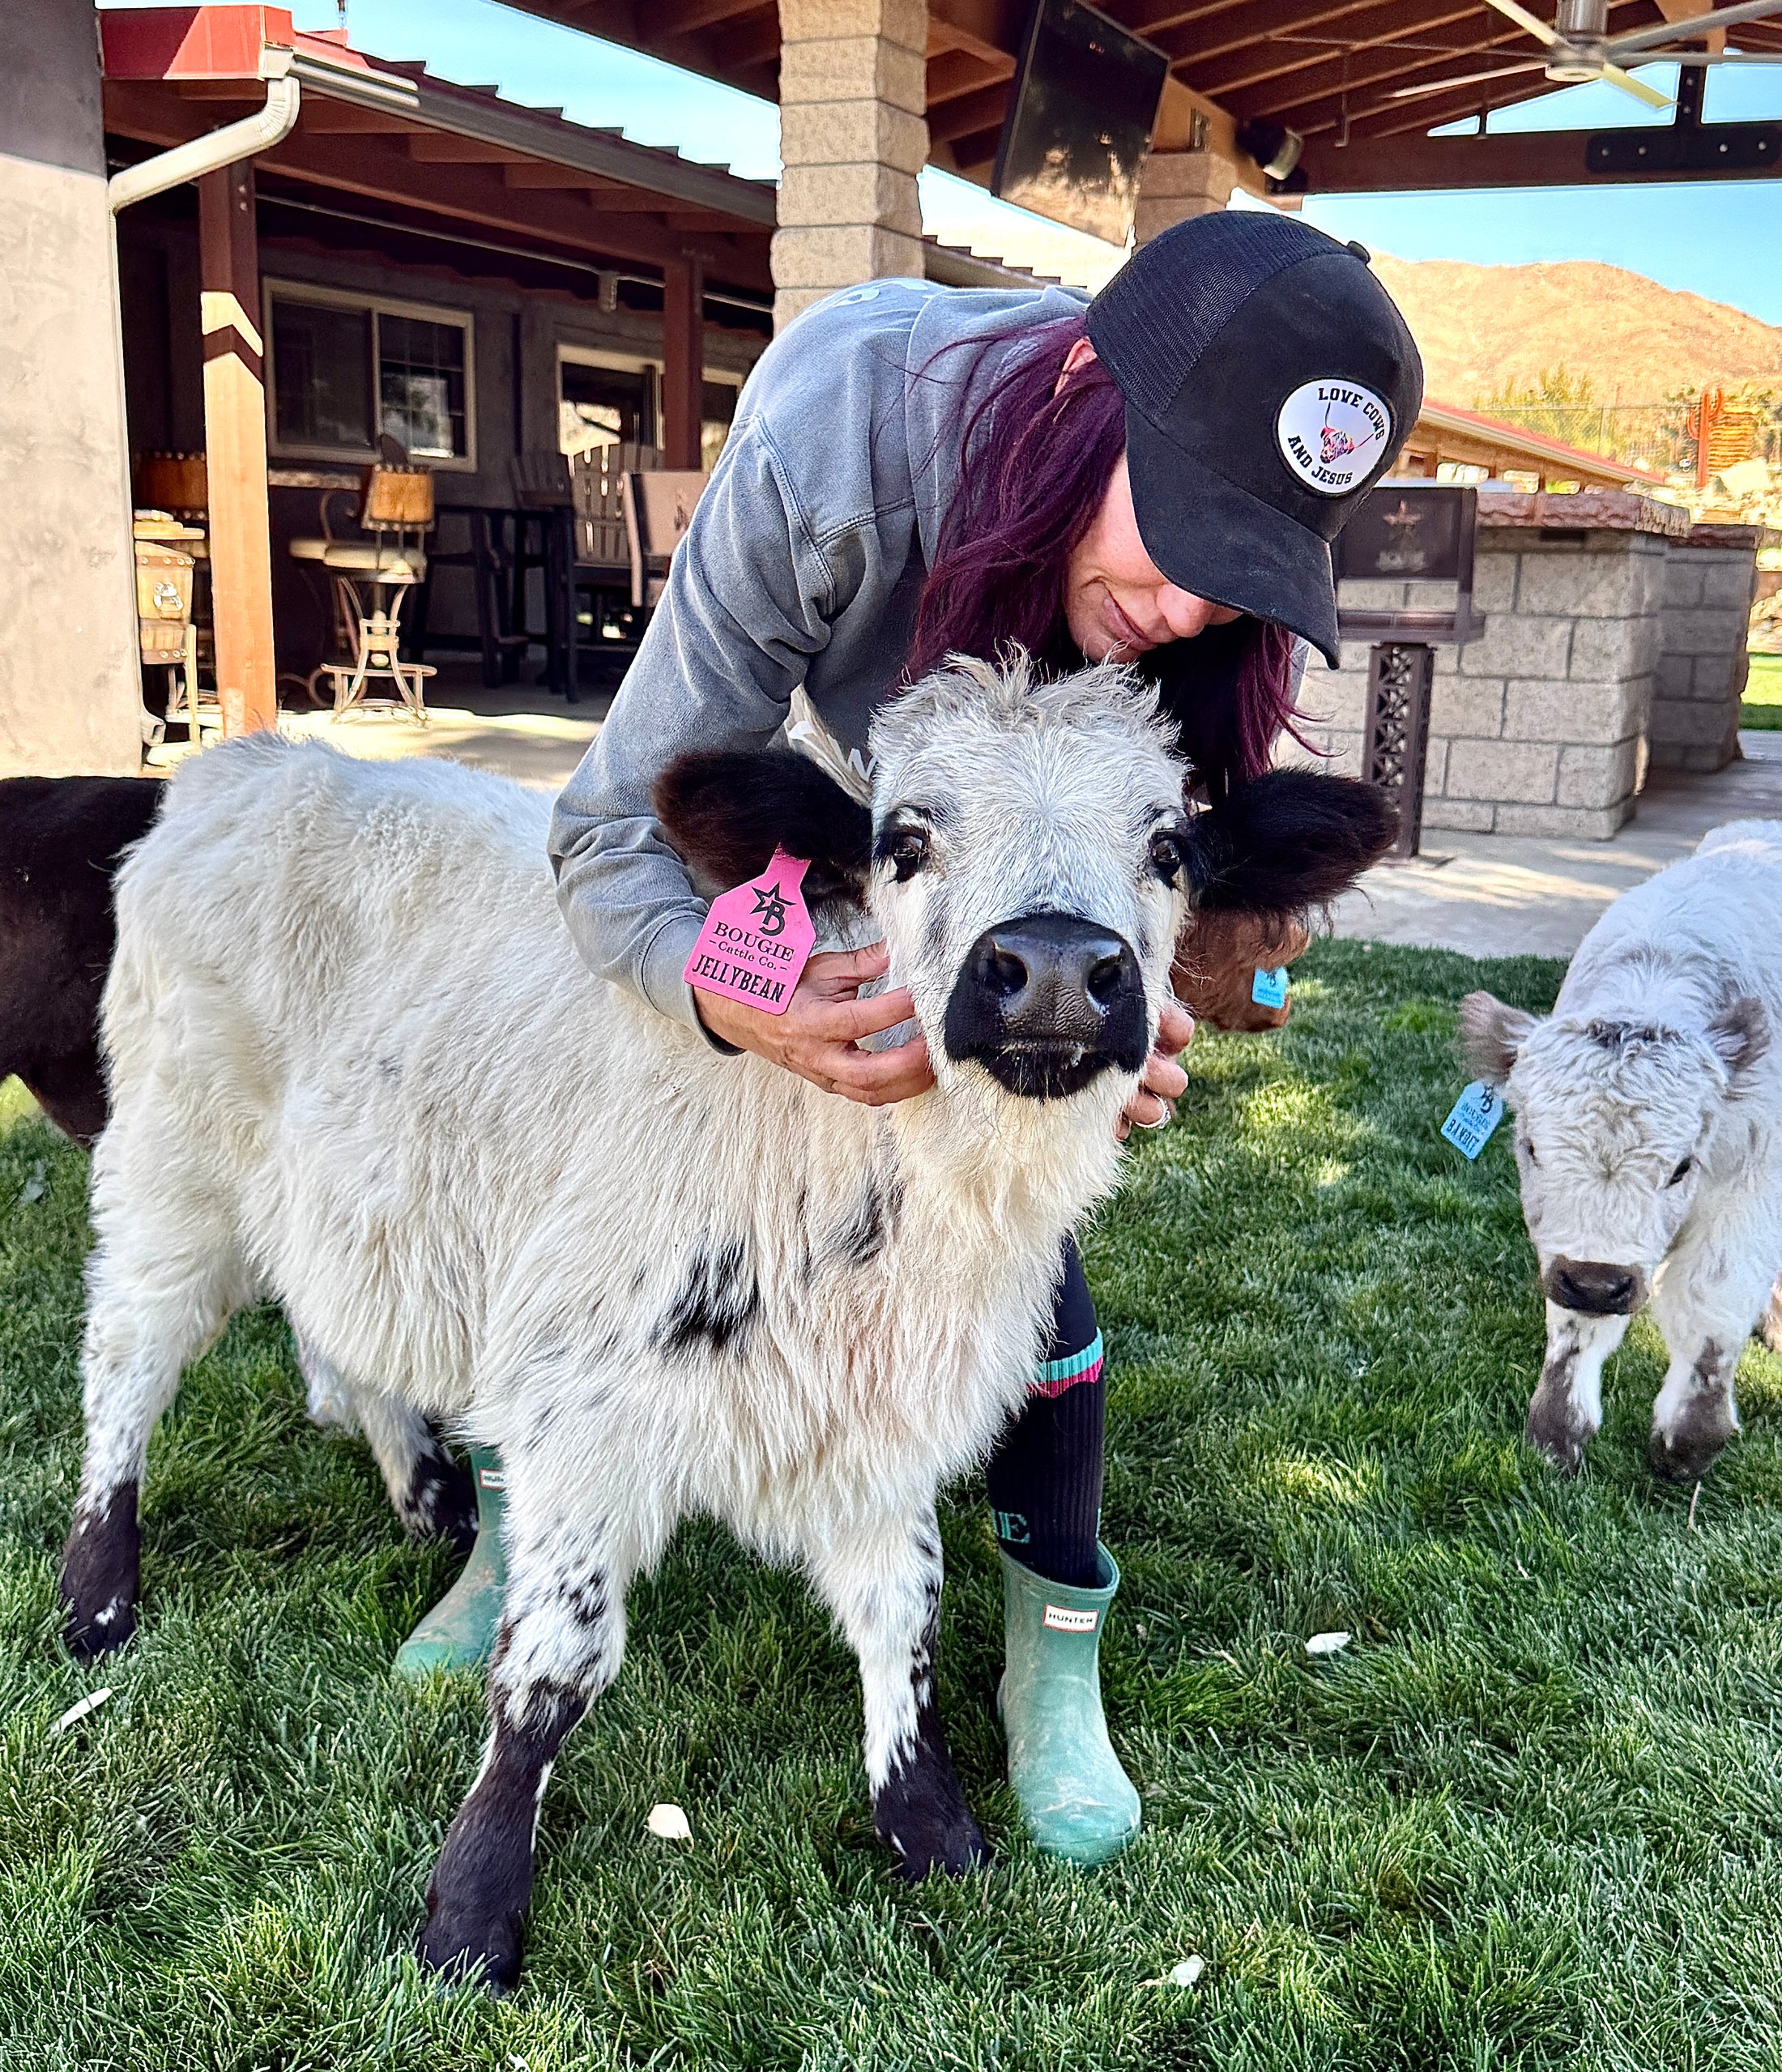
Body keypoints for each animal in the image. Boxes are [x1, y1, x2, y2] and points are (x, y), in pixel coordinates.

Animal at [1459, 820, 1782, 1483]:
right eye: (1531, 1147)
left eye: (1682, 1166)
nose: (1597, 1282)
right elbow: (1576, 1328)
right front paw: (1557, 1436)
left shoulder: (1750, 1190)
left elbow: (1711, 1304)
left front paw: (1688, 1444)